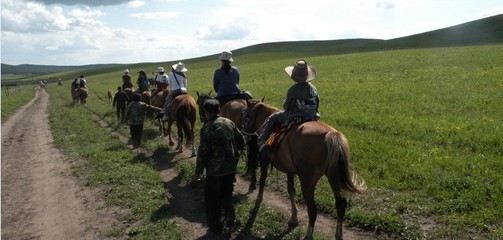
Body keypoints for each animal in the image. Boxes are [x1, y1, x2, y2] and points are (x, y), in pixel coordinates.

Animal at [242, 99, 364, 240]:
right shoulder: (289, 170)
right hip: (334, 177)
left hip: (307, 181)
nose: (243, 131)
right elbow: (291, 190)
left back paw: (309, 234)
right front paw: (293, 218)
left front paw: (258, 199)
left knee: (312, 209)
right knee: (341, 205)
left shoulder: (264, 160)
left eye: (246, 114)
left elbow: (263, 180)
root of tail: (331, 135)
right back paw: (338, 234)